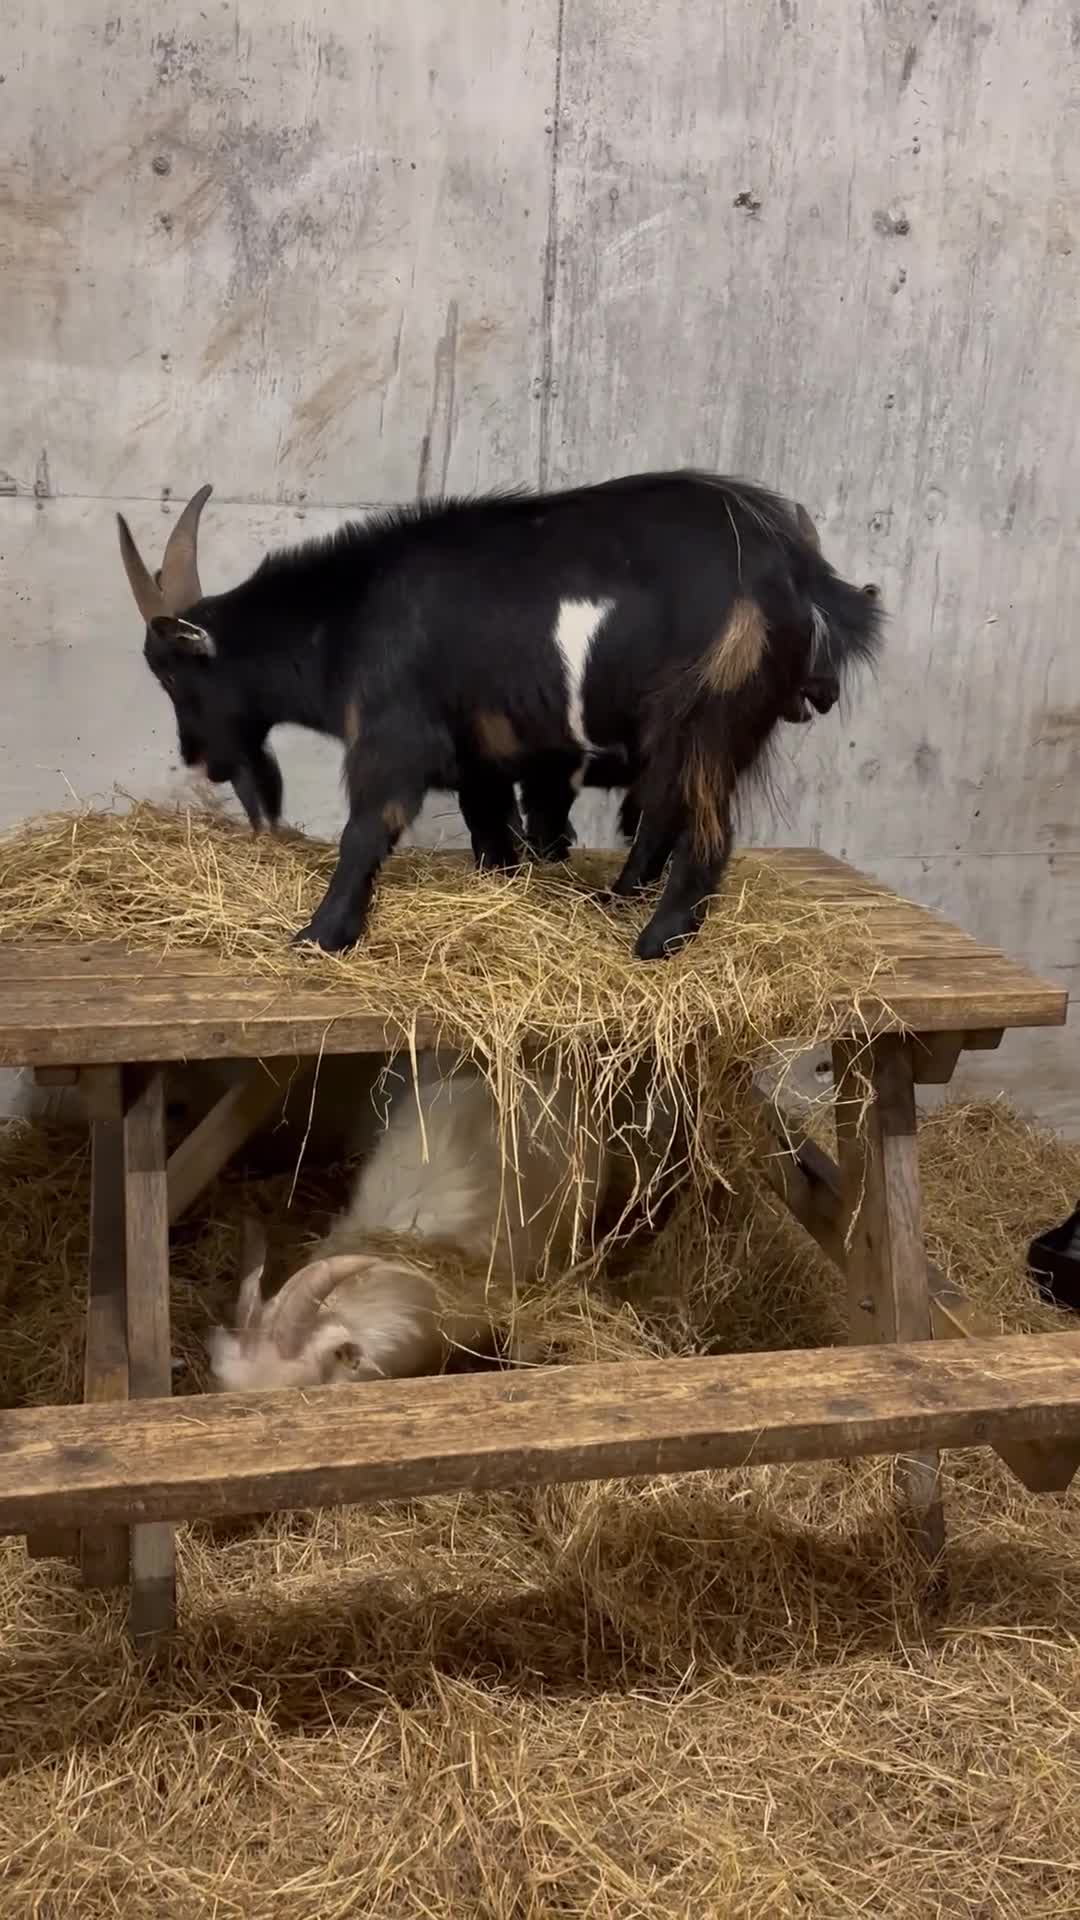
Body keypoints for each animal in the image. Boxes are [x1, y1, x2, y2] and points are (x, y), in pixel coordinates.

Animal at [118, 472, 880, 961]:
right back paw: (617, 902)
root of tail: (795, 576)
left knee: (707, 831)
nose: (197, 757)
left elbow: (364, 833)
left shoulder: (393, 740)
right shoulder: (480, 761)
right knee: (665, 818)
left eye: (174, 674)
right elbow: (493, 842)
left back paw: (654, 943)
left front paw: (320, 937)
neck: (346, 618)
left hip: (706, 721)